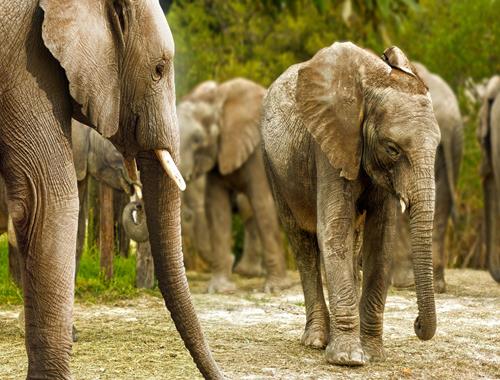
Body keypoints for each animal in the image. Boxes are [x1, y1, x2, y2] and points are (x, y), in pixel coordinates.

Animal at [179, 76, 290, 290]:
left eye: (198, 139)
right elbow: (216, 208)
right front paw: (220, 289)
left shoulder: (258, 151)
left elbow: (262, 203)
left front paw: (274, 288)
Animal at [264, 43, 440, 366]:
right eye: (392, 149)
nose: (417, 323)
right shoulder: (330, 146)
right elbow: (334, 229)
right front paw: (348, 359)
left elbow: (380, 239)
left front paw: (372, 354)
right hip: (274, 167)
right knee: (302, 243)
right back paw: (317, 341)